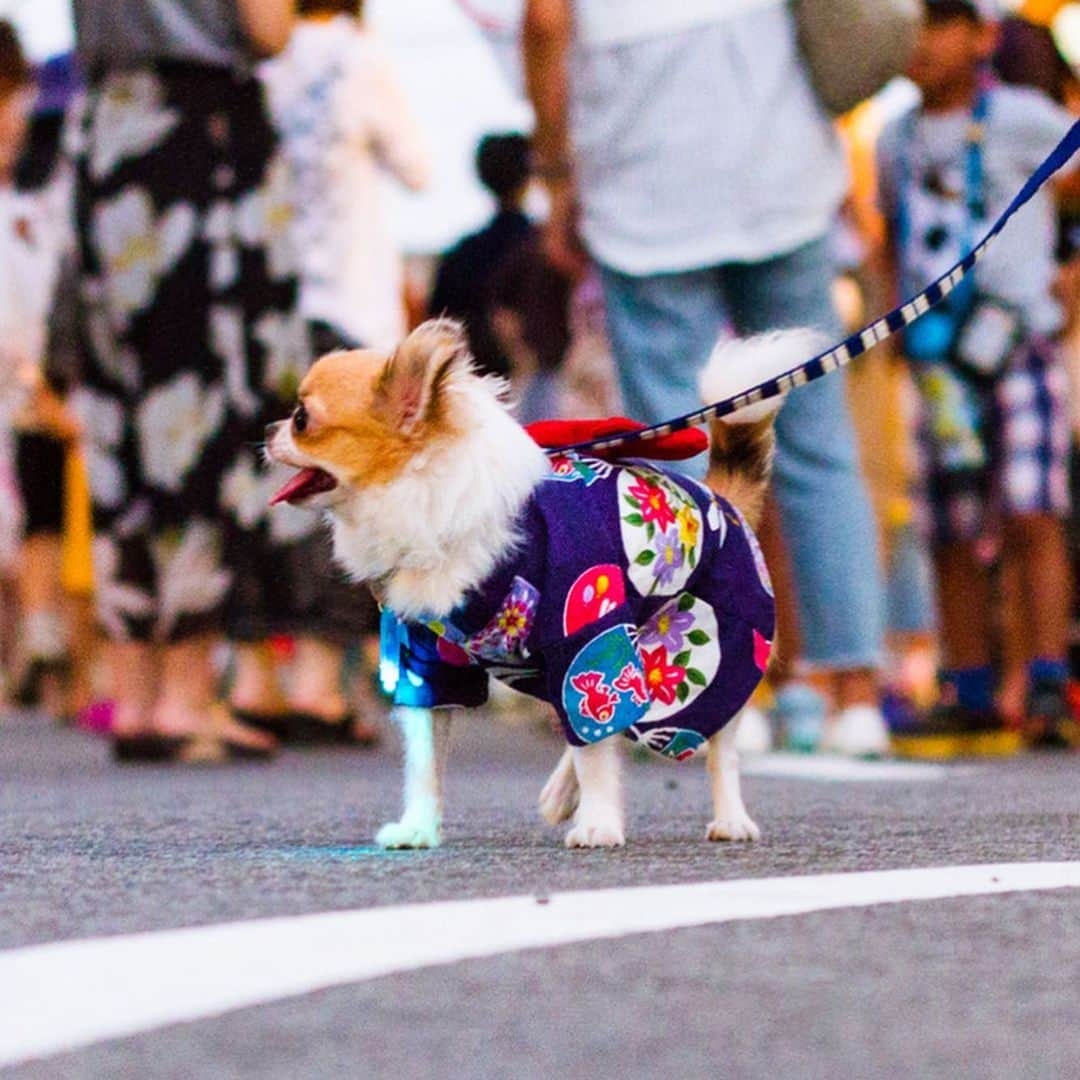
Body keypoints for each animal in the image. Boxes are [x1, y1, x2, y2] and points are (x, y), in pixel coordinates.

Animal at [265, 315, 820, 846]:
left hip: (711, 645)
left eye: (303, 419)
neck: (420, 497)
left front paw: (598, 825)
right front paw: (417, 829)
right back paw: (561, 793)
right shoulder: (428, 660)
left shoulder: (588, 640)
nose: (270, 429)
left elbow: (596, 747)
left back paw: (731, 819)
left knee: (712, 743)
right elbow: (425, 762)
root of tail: (721, 501)